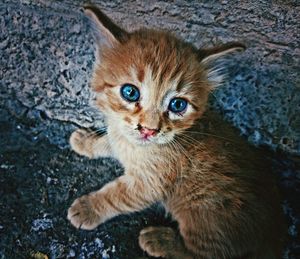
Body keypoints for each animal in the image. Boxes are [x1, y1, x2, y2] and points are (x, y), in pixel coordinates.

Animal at [68, 5, 286, 258]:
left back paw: (160, 240)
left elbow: (117, 196)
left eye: (177, 105)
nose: (149, 130)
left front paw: (88, 208)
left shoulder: (149, 183)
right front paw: (87, 141)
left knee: (201, 254)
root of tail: (275, 233)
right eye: (130, 92)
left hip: (202, 215)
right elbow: (111, 140)